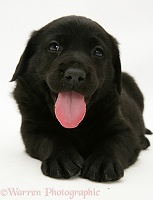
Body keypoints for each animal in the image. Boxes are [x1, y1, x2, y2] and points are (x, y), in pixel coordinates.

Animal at [10, 15, 151, 182]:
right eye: (54, 46)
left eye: (98, 52)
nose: (75, 74)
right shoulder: (33, 128)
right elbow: (50, 138)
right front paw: (62, 158)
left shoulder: (123, 128)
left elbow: (115, 143)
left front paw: (102, 162)